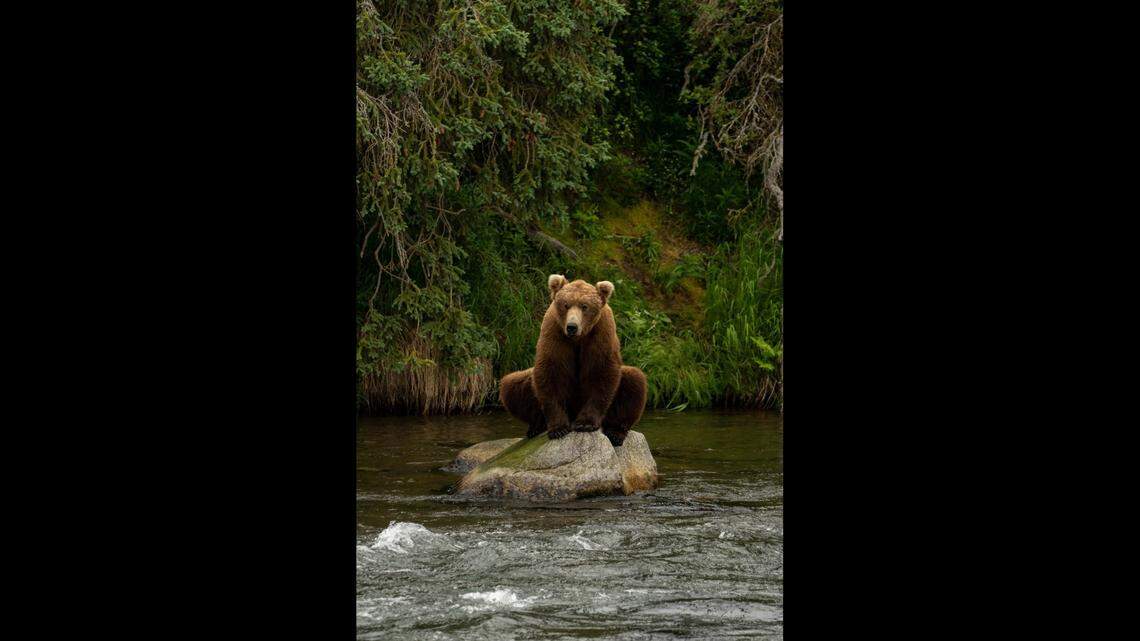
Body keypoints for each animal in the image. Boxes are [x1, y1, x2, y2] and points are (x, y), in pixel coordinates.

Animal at [499, 274, 648, 447]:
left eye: (585, 306)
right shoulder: (555, 332)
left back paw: (616, 432)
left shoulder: (601, 333)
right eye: (565, 304)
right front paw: (559, 428)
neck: (578, 338)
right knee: (512, 384)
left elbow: (601, 373)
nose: (572, 326)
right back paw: (536, 426)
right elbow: (551, 372)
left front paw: (585, 423)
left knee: (634, 380)